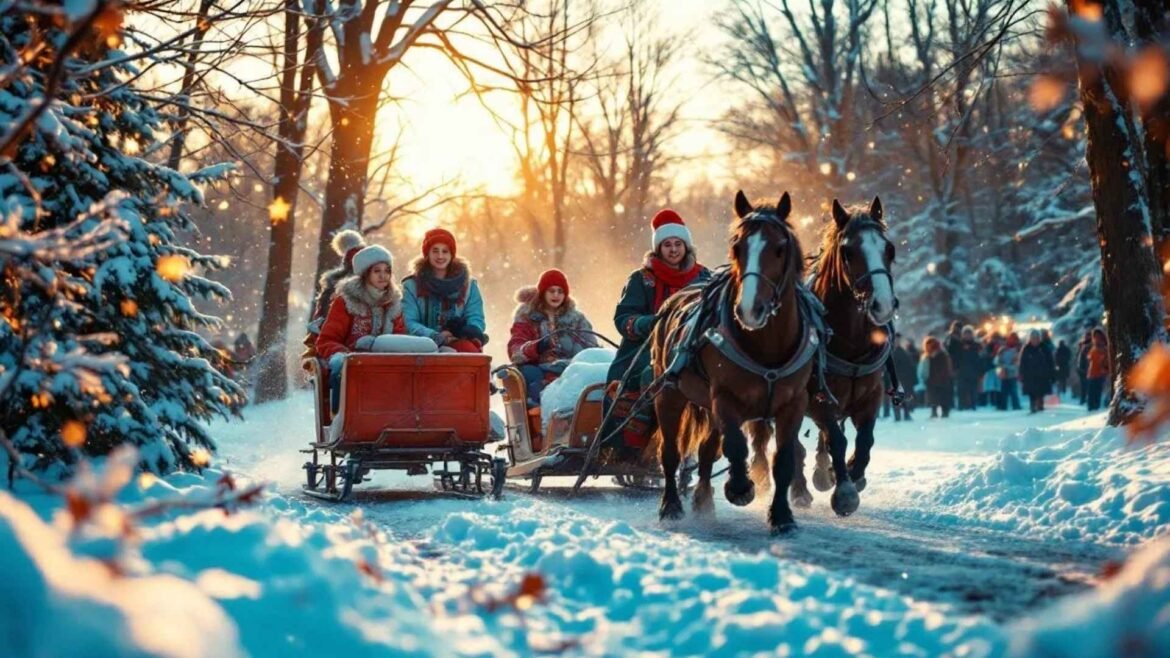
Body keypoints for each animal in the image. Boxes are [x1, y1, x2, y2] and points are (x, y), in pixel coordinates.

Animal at [648, 190, 818, 535]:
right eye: (737, 247)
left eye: (780, 249)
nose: (750, 309)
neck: (766, 346)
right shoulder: (725, 398)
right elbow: (736, 446)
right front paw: (740, 488)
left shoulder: (794, 402)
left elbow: (783, 459)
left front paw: (782, 516)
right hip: (669, 392)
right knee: (670, 452)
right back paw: (671, 505)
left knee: (706, 451)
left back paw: (702, 501)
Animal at [748, 196, 897, 517]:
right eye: (848, 252)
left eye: (889, 249)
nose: (883, 305)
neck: (850, 342)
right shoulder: (816, 400)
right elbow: (837, 440)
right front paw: (844, 492)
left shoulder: (871, 396)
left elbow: (865, 440)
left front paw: (853, 473)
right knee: (785, 443)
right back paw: (795, 487)